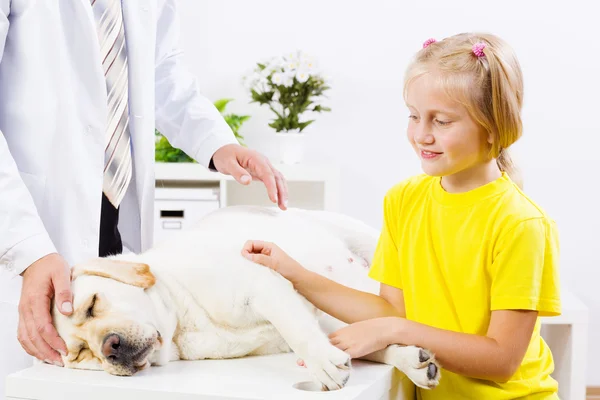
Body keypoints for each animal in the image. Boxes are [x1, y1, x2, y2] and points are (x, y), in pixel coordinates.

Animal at [51, 206, 440, 390]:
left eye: (92, 304)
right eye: (81, 353)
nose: (110, 347)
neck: (183, 319)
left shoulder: (262, 283)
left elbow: (299, 329)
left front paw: (325, 365)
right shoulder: (330, 322)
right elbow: (370, 342)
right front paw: (412, 361)